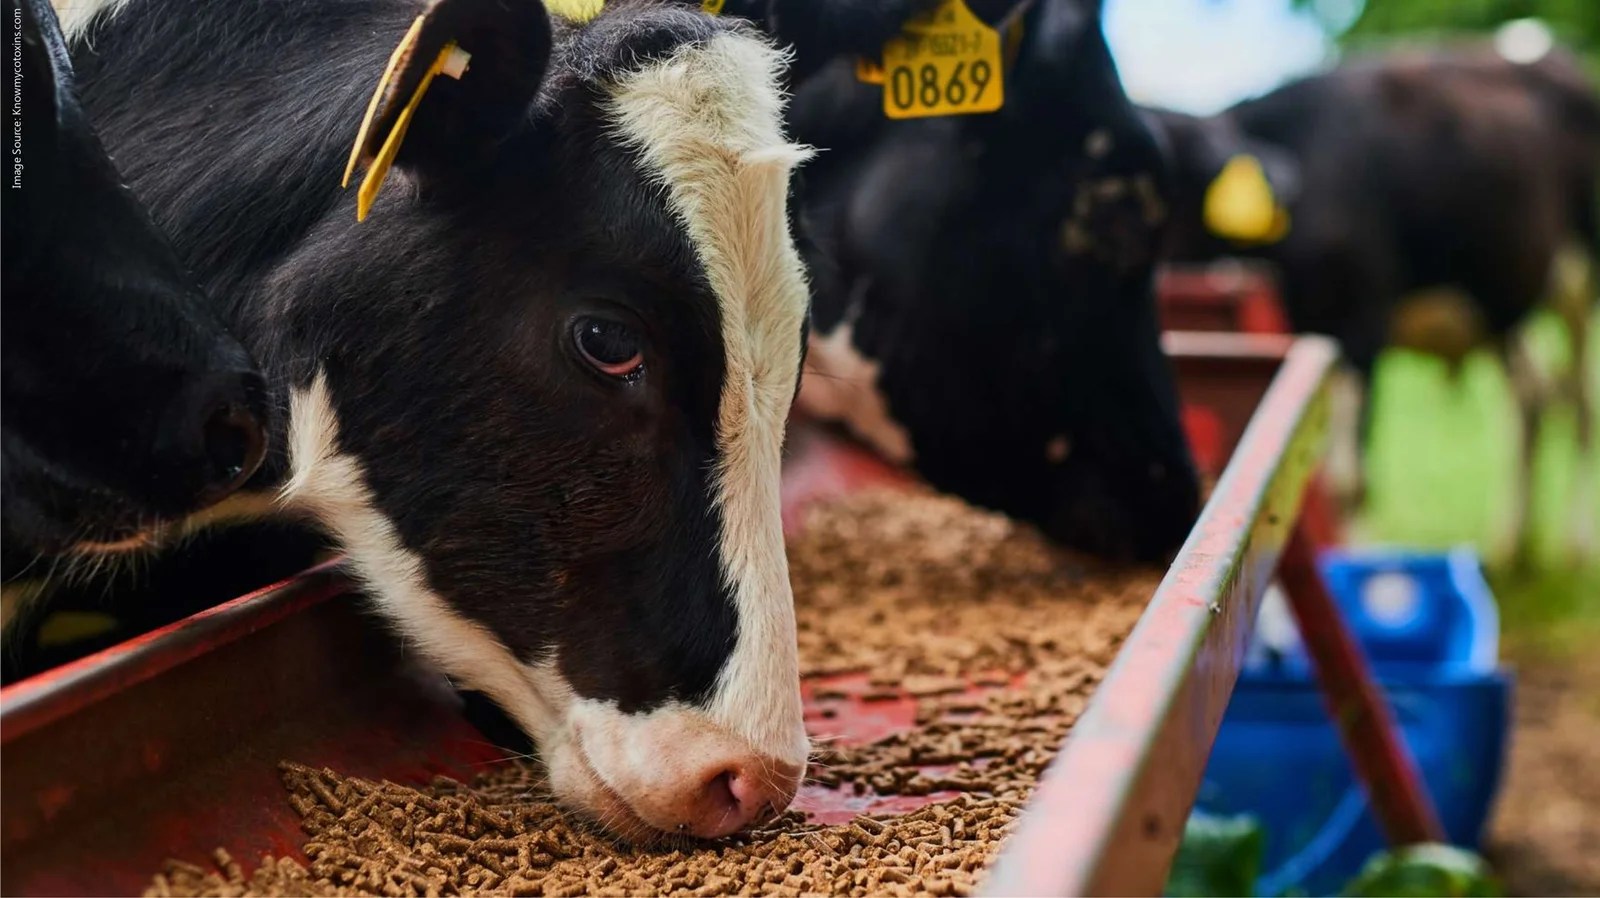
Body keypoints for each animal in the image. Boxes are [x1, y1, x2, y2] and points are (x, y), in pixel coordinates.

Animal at [1150, 43, 1600, 563]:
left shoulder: (1359, 323)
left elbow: (1349, 480)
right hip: (1501, 301)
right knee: (1532, 399)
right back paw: (1512, 543)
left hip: (1579, 284)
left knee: (1580, 404)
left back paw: (1575, 541)